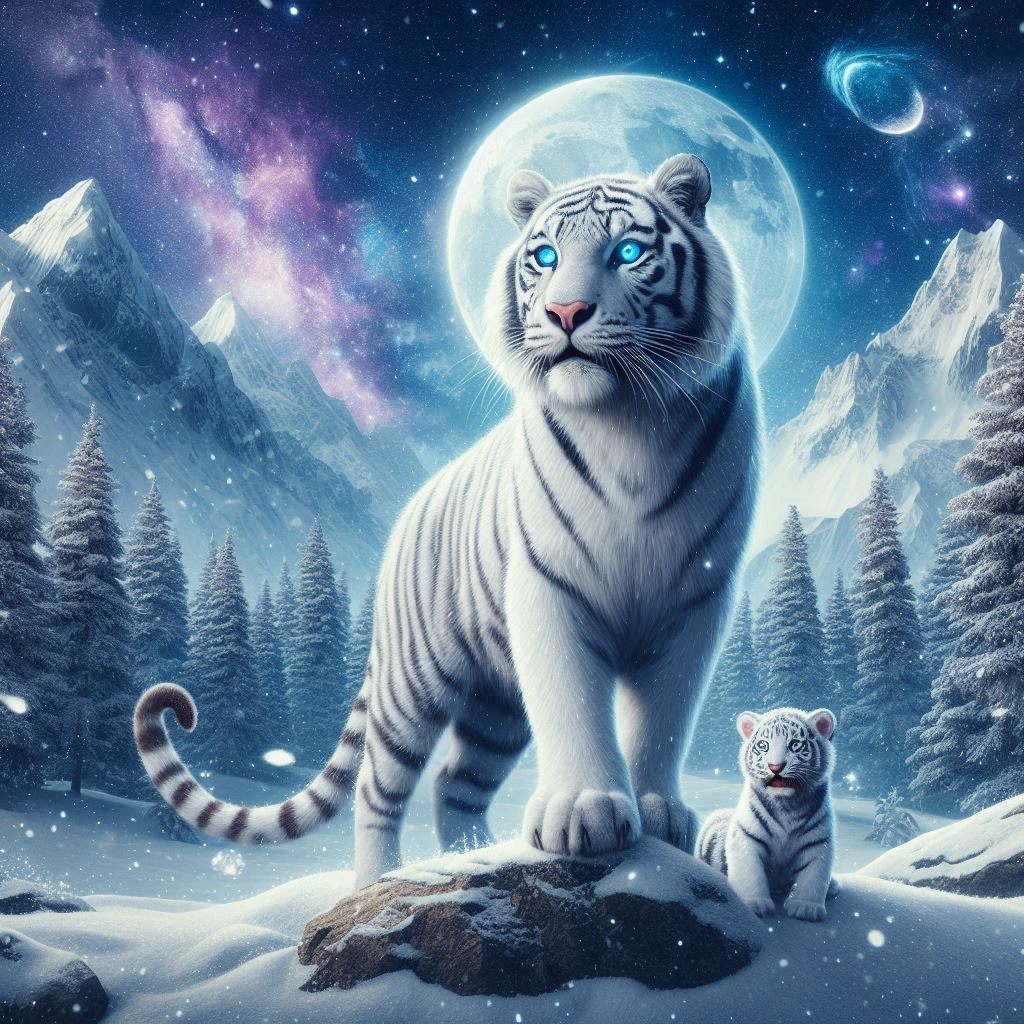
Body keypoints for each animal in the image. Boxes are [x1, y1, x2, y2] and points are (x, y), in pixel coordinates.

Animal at [135, 152, 763, 890]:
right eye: (545, 256)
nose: (566, 311)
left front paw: (659, 812)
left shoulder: (698, 596)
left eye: (628, 253)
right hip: (413, 681)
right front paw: (585, 809)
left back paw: (471, 861)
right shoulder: (549, 586)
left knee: (456, 783)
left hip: (496, 706)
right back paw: (377, 882)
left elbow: (667, 713)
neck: (628, 423)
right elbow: (572, 699)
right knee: (378, 788)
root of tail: (409, 511)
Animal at [697, 707, 839, 922]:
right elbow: (751, 872)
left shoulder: (818, 842)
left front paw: (806, 908)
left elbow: (813, 875)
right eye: (763, 745)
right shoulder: (746, 837)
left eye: (794, 744)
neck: (787, 804)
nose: (775, 767)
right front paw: (755, 904)